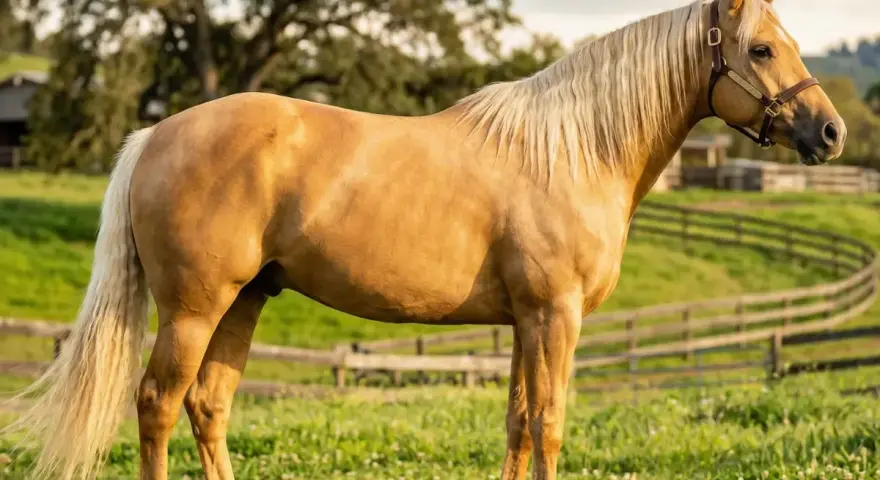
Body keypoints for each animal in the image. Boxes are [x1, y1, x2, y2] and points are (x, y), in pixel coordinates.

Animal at [3, 0, 845, 479]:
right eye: (762, 49)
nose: (832, 132)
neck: (574, 149)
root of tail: (154, 134)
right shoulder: (556, 316)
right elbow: (550, 427)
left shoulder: (525, 322)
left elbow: (517, 427)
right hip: (192, 308)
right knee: (158, 404)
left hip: (243, 302)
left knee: (209, 407)